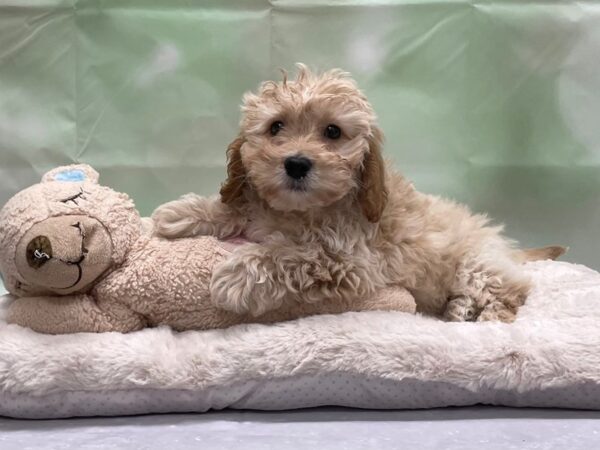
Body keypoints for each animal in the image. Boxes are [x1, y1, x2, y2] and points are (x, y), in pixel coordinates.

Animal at [152, 65, 564, 322]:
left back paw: (480, 316)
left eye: (333, 132)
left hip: (478, 265)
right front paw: (182, 213)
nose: (296, 164)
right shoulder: (261, 204)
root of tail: (506, 248)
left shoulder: (350, 262)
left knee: (510, 295)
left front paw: (236, 275)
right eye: (276, 127)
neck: (299, 211)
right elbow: (237, 206)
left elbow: (291, 256)